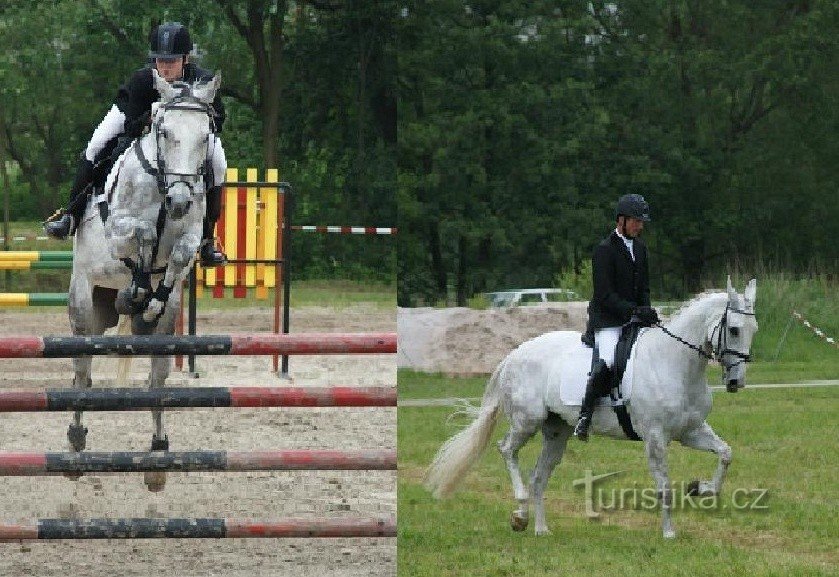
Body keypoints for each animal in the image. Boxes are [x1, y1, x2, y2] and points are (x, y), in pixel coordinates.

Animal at [426, 276, 760, 536]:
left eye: (754, 329)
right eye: (734, 330)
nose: (735, 382)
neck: (675, 364)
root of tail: (513, 354)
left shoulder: (690, 431)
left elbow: (726, 454)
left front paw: (700, 489)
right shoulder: (655, 438)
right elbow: (664, 487)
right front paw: (669, 533)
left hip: (556, 431)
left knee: (539, 476)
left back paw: (541, 529)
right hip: (526, 421)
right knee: (507, 450)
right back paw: (520, 514)